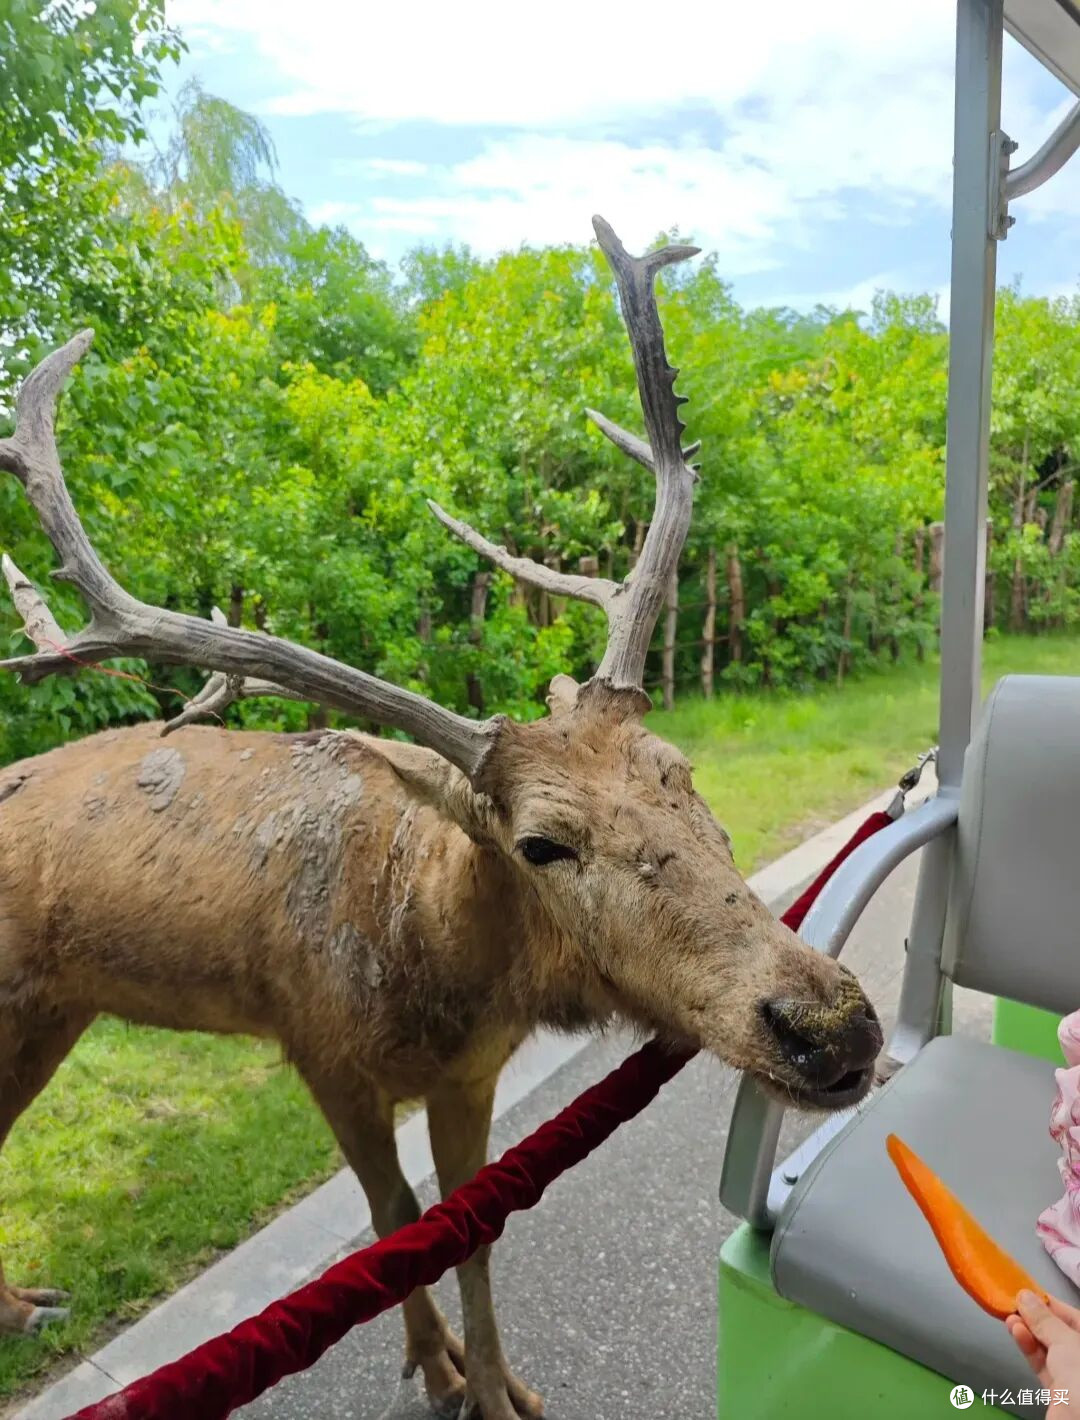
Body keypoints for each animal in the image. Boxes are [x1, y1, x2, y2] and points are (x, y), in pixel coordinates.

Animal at [0, 218, 882, 1420]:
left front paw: (502, 1385)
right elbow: (392, 1223)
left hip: (54, 1013)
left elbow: (472, 1230)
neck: (435, 968)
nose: (830, 1024)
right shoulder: (318, 1048)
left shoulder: (474, 1071)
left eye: (682, 773)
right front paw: (438, 1368)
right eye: (540, 843)